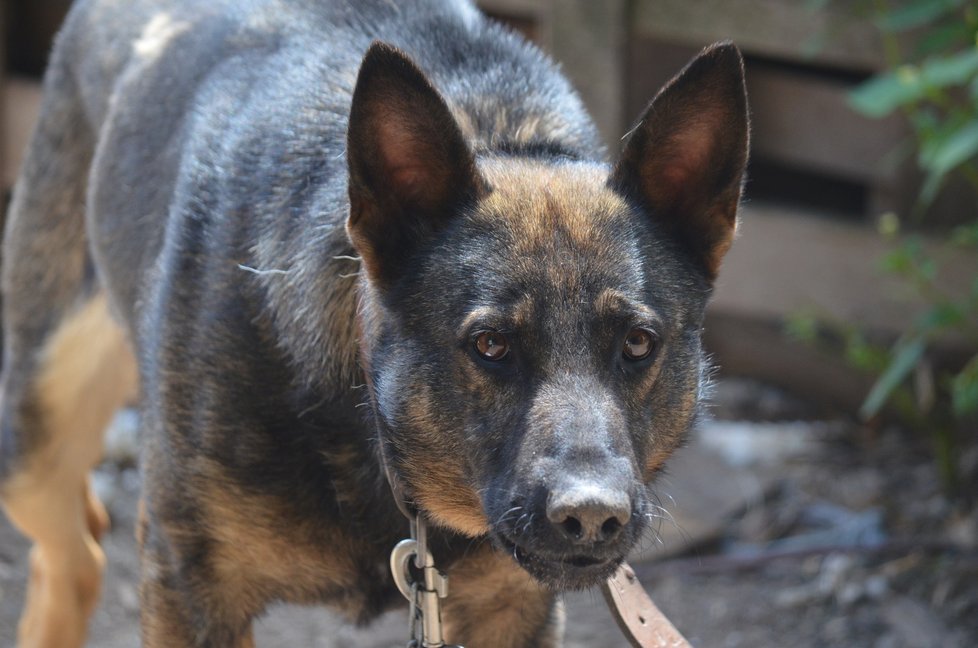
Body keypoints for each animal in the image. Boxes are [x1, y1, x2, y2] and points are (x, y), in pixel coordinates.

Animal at [1, 0, 748, 644]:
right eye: (490, 344)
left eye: (638, 344)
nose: (592, 518)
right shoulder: (191, 590)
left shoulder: (512, 608)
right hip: (31, 446)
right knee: (71, 555)